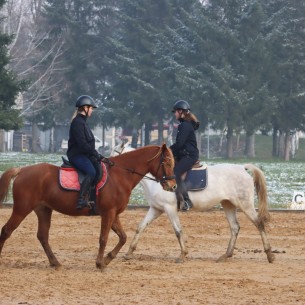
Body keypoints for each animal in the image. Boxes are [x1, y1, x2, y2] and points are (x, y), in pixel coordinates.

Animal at [0, 144, 176, 270]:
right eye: (167, 162)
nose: (173, 186)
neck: (120, 175)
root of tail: (22, 170)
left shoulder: (114, 214)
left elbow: (123, 237)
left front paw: (107, 259)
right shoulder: (108, 213)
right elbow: (103, 238)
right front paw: (99, 263)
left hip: (43, 210)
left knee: (42, 236)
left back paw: (55, 262)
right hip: (22, 209)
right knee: (6, 230)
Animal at [111, 141, 274, 262]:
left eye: (115, 152)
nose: (110, 166)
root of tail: (242, 168)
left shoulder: (169, 208)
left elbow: (178, 230)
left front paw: (183, 255)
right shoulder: (156, 208)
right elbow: (141, 227)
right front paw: (129, 253)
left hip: (244, 204)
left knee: (259, 223)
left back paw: (269, 254)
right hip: (228, 204)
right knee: (234, 227)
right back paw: (225, 255)